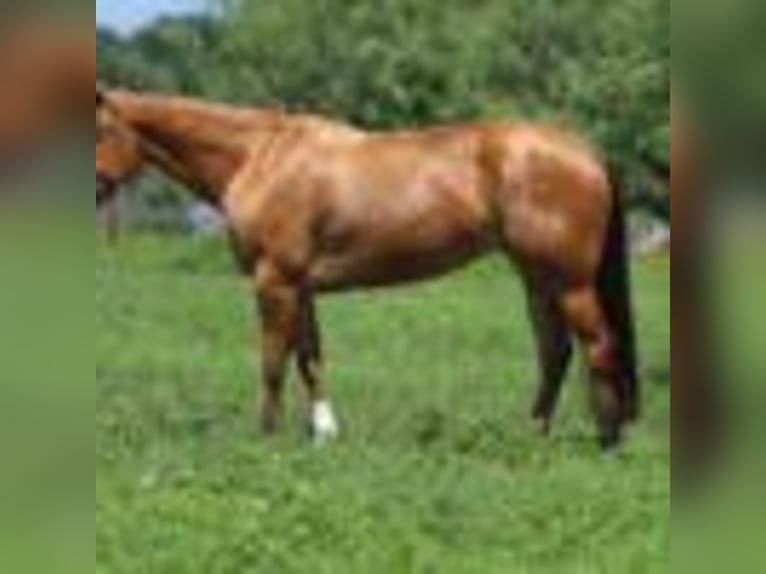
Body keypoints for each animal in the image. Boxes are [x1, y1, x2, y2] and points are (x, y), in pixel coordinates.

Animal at [96, 88, 639, 448]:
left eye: (99, 128)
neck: (260, 157)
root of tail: (585, 151)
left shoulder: (275, 281)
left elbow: (273, 362)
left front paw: (266, 436)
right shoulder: (300, 287)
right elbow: (309, 359)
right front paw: (323, 434)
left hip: (568, 281)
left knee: (597, 344)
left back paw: (607, 441)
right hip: (536, 278)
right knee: (555, 352)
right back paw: (533, 434)